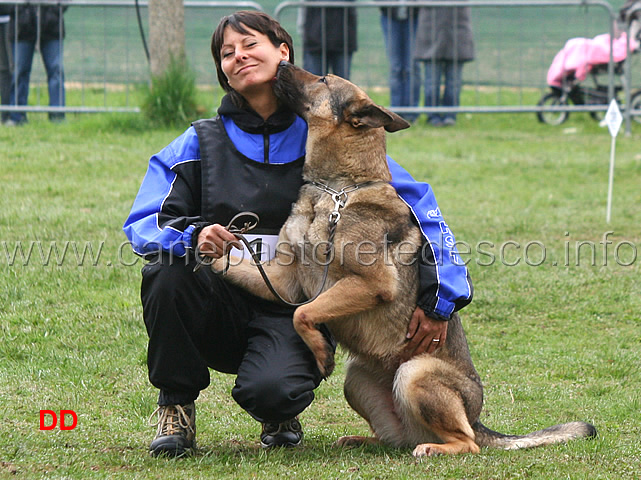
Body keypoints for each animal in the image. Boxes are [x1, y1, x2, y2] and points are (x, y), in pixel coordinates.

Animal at [212, 62, 596, 456]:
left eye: (323, 79)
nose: (283, 65)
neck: (337, 191)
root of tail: (475, 418)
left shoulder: (370, 283)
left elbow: (303, 313)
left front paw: (320, 354)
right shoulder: (284, 281)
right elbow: (250, 275)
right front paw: (207, 248)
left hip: (413, 374)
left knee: (467, 443)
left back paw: (437, 448)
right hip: (358, 380)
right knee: (394, 438)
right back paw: (364, 439)